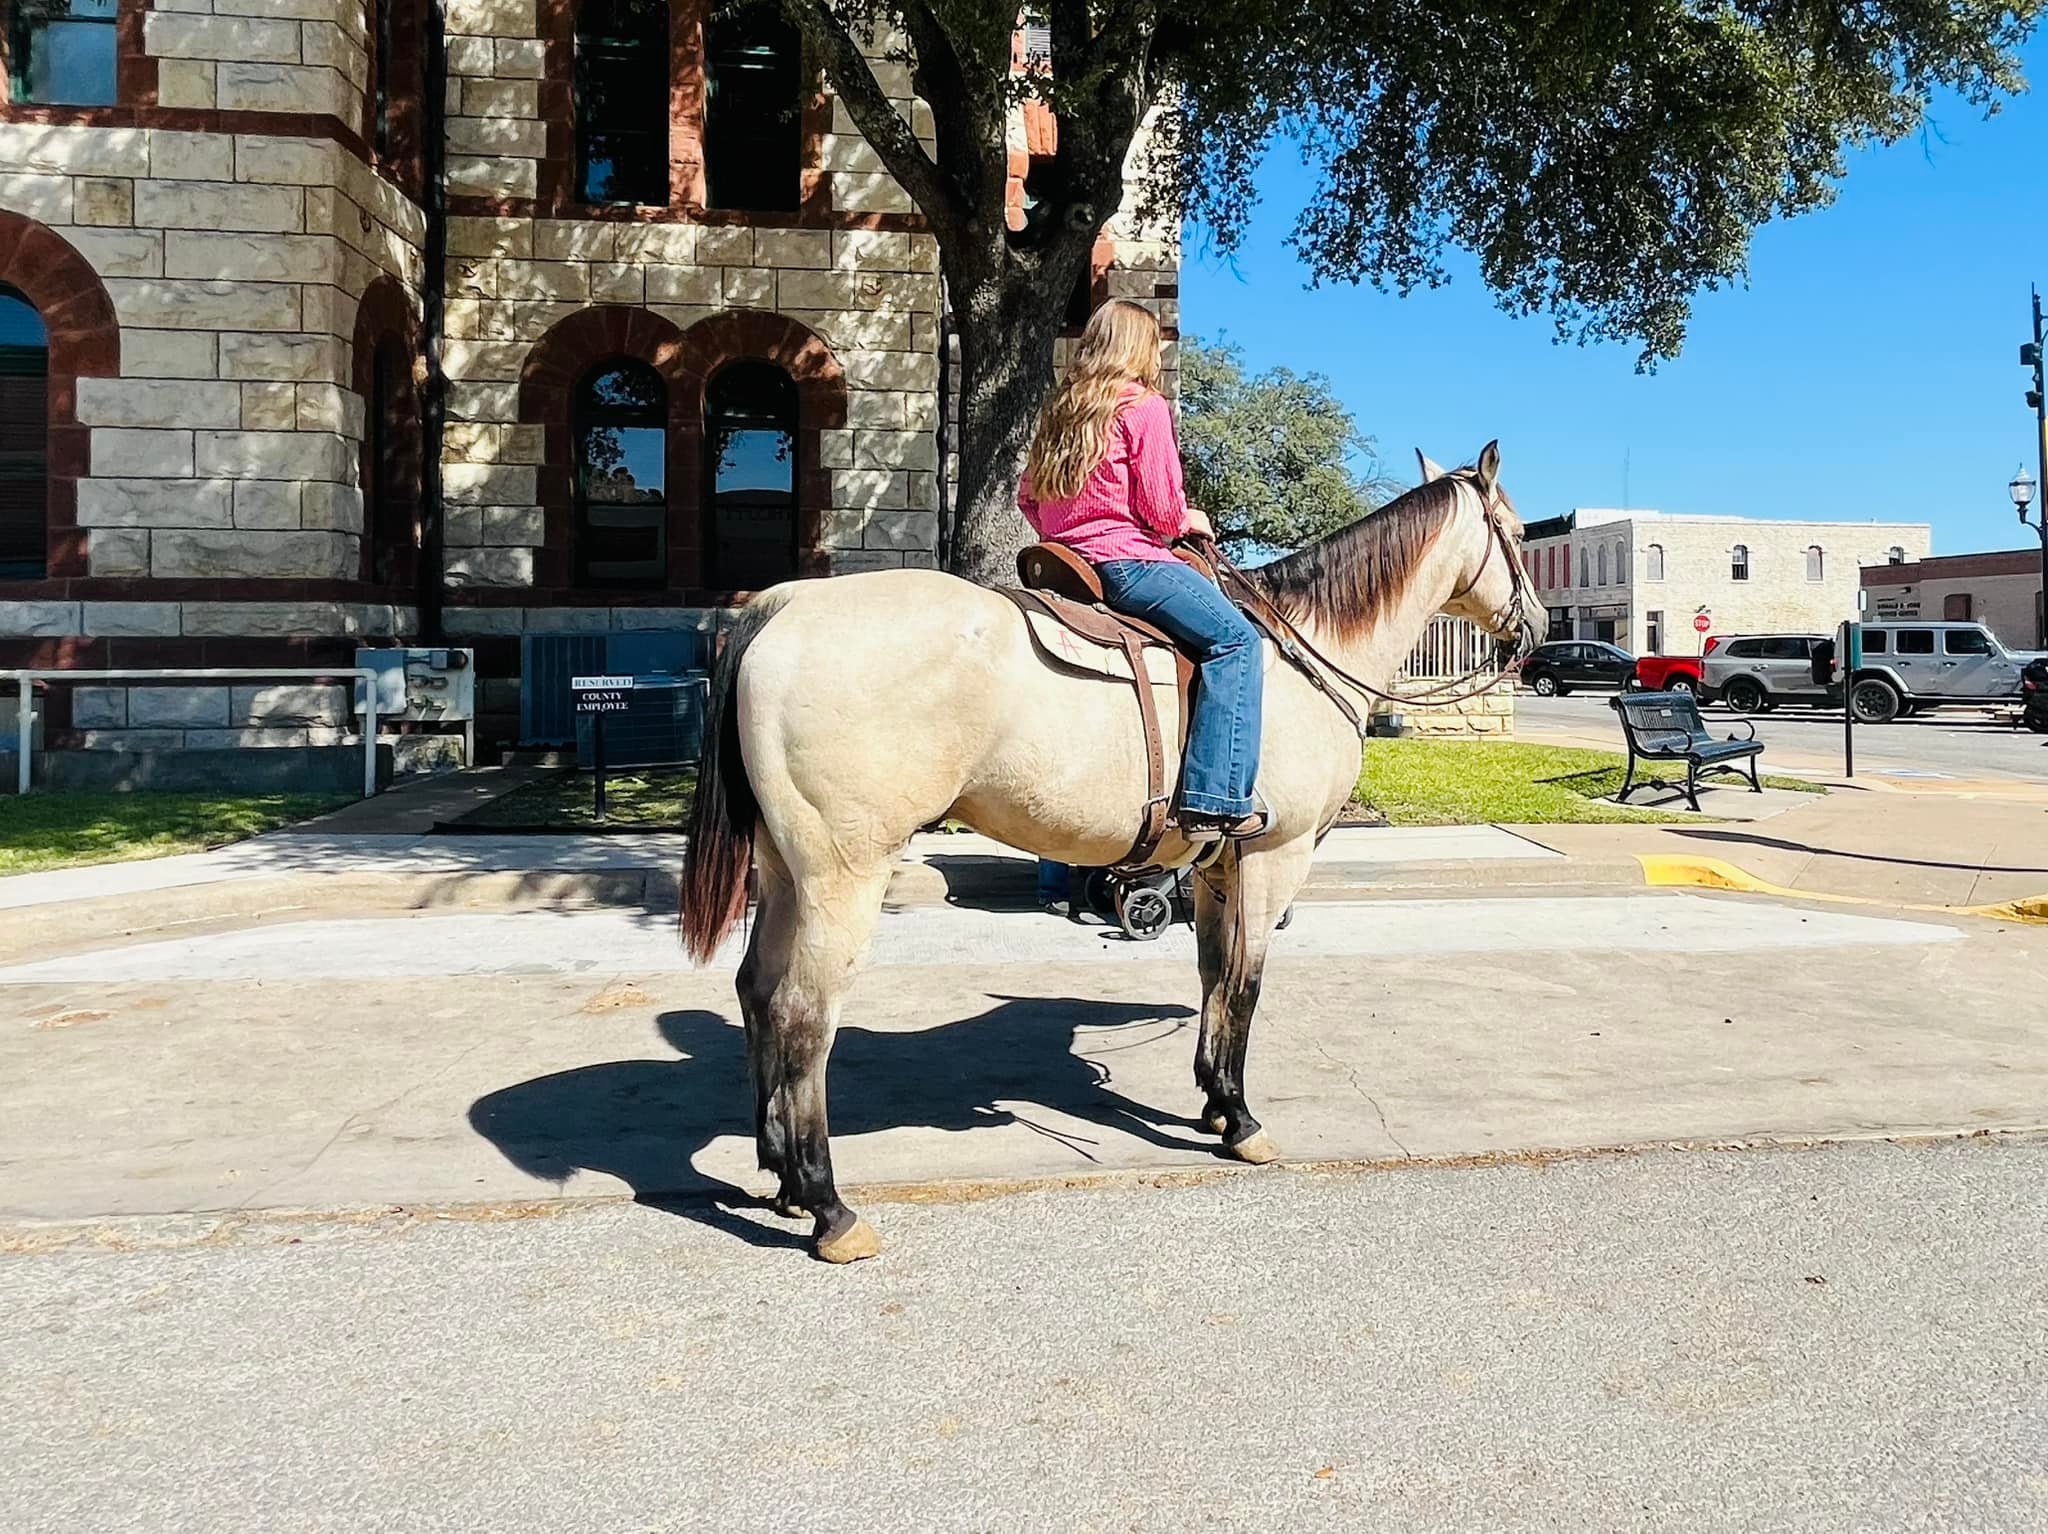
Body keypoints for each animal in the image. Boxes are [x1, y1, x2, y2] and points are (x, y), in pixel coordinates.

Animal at [680, 442, 1541, 1262]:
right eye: (1516, 530)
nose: (1532, 628)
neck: (1307, 653)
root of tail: (784, 603)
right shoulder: (1274, 858)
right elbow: (1246, 985)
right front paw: (1243, 1120)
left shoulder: (1217, 866)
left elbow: (1213, 977)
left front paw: (1213, 1103)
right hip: (844, 872)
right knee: (802, 1015)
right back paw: (828, 1207)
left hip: (783, 867)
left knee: (757, 991)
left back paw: (780, 1176)